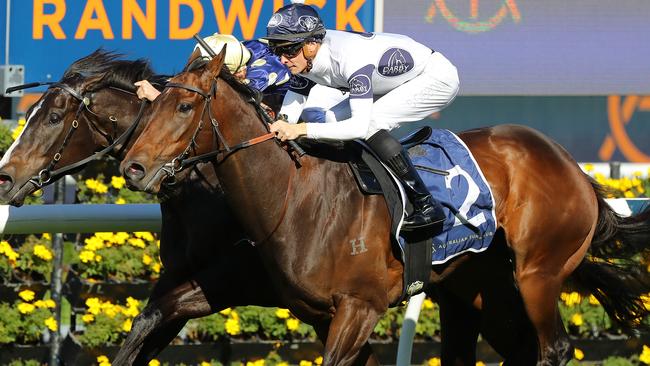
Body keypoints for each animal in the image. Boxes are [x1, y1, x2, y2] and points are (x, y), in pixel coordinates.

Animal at [120, 49, 648, 366]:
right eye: (152, 105)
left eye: (184, 107)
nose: (133, 168)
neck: (298, 200)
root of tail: (573, 167)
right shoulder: (311, 308)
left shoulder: (360, 306)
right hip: (481, 286)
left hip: (538, 273)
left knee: (553, 347)